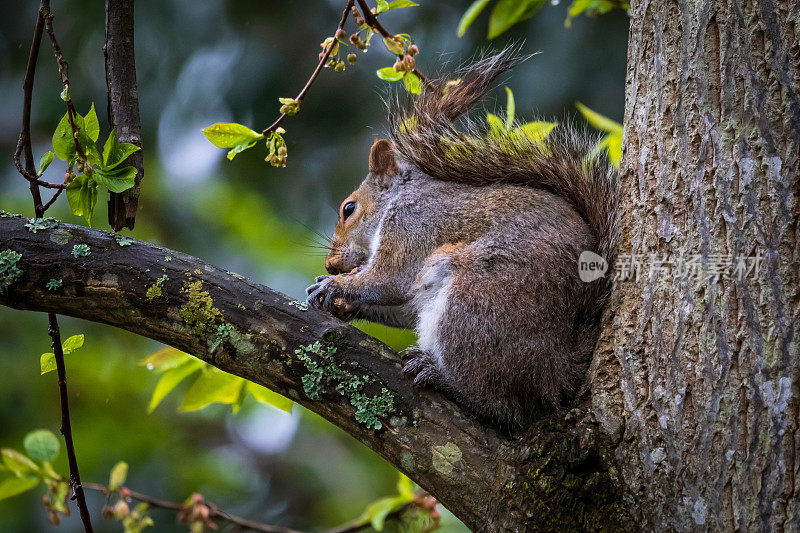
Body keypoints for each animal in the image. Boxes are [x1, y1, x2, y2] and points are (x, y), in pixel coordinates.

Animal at [306, 50, 620, 430]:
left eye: (348, 209)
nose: (330, 264)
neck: (402, 197)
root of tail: (556, 373)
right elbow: (404, 306)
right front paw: (343, 302)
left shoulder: (413, 225)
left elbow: (389, 279)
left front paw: (335, 286)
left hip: (476, 303)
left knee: (503, 405)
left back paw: (443, 378)